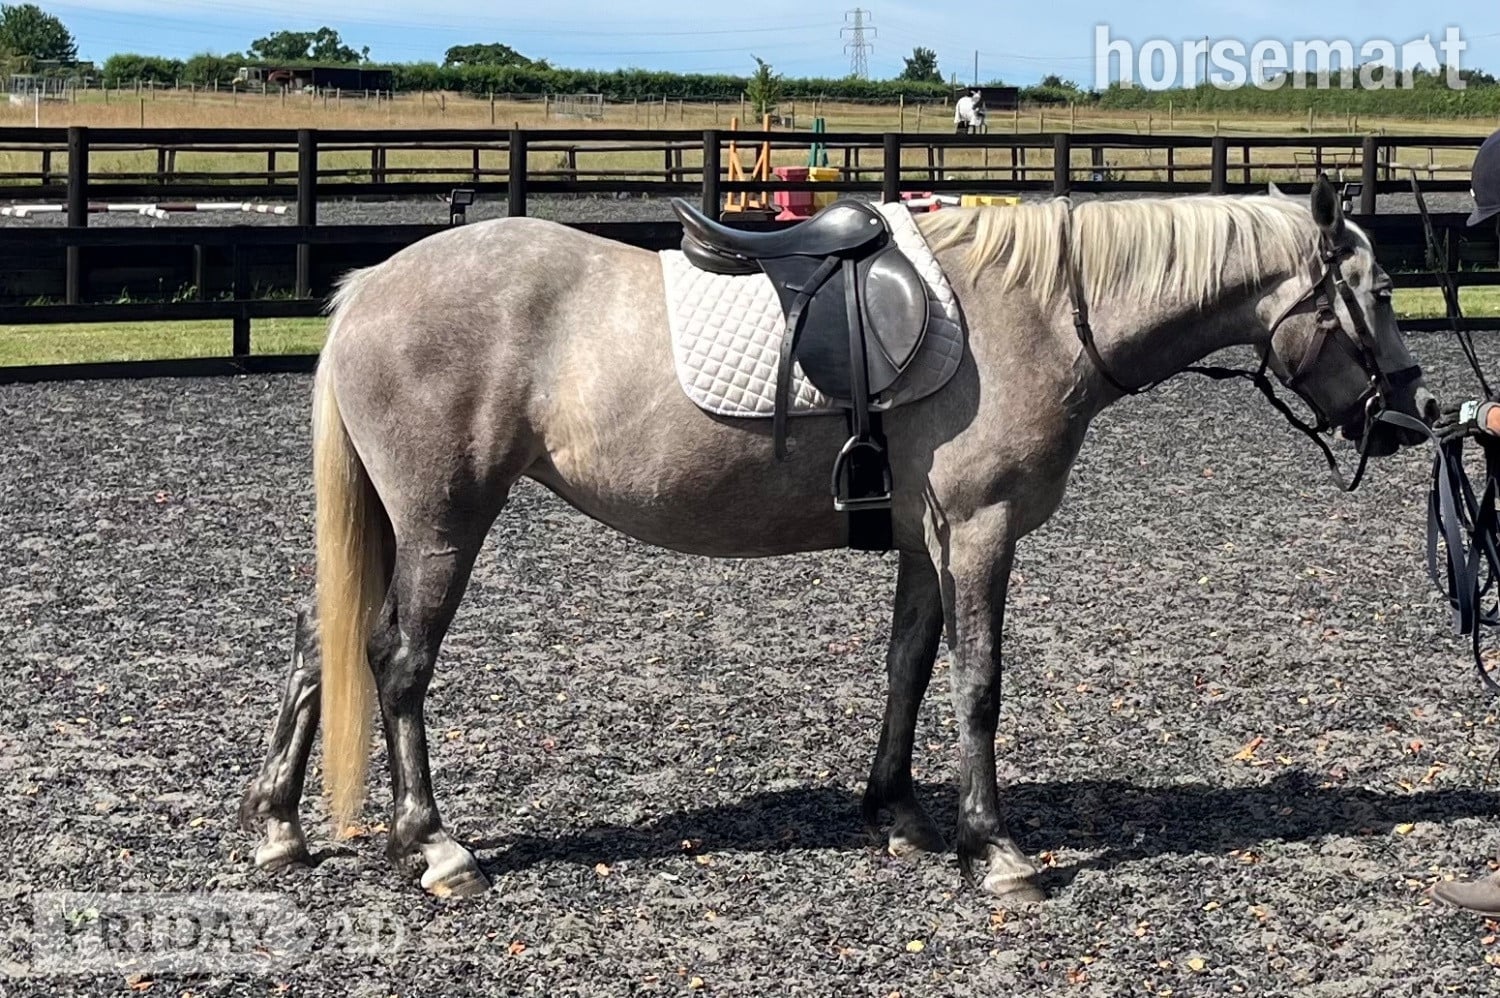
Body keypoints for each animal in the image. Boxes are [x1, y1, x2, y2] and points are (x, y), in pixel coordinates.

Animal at [238, 176, 1436, 903]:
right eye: (1377, 291)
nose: (1410, 415)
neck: (1038, 309)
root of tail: (369, 287)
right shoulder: (981, 528)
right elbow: (979, 681)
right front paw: (995, 847)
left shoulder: (925, 536)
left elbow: (909, 664)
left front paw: (897, 811)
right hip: (443, 518)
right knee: (398, 661)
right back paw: (433, 842)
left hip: (391, 520)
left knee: (319, 640)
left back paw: (279, 824)